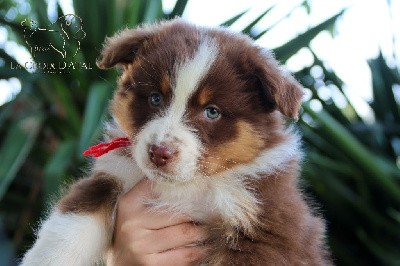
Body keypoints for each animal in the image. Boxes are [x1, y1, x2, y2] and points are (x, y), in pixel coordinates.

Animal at [20, 19, 330, 266]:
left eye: (212, 112)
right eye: (155, 98)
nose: (159, 153)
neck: (190, 185)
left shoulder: (262, 222)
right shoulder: (112, 175)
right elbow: (68, 230)